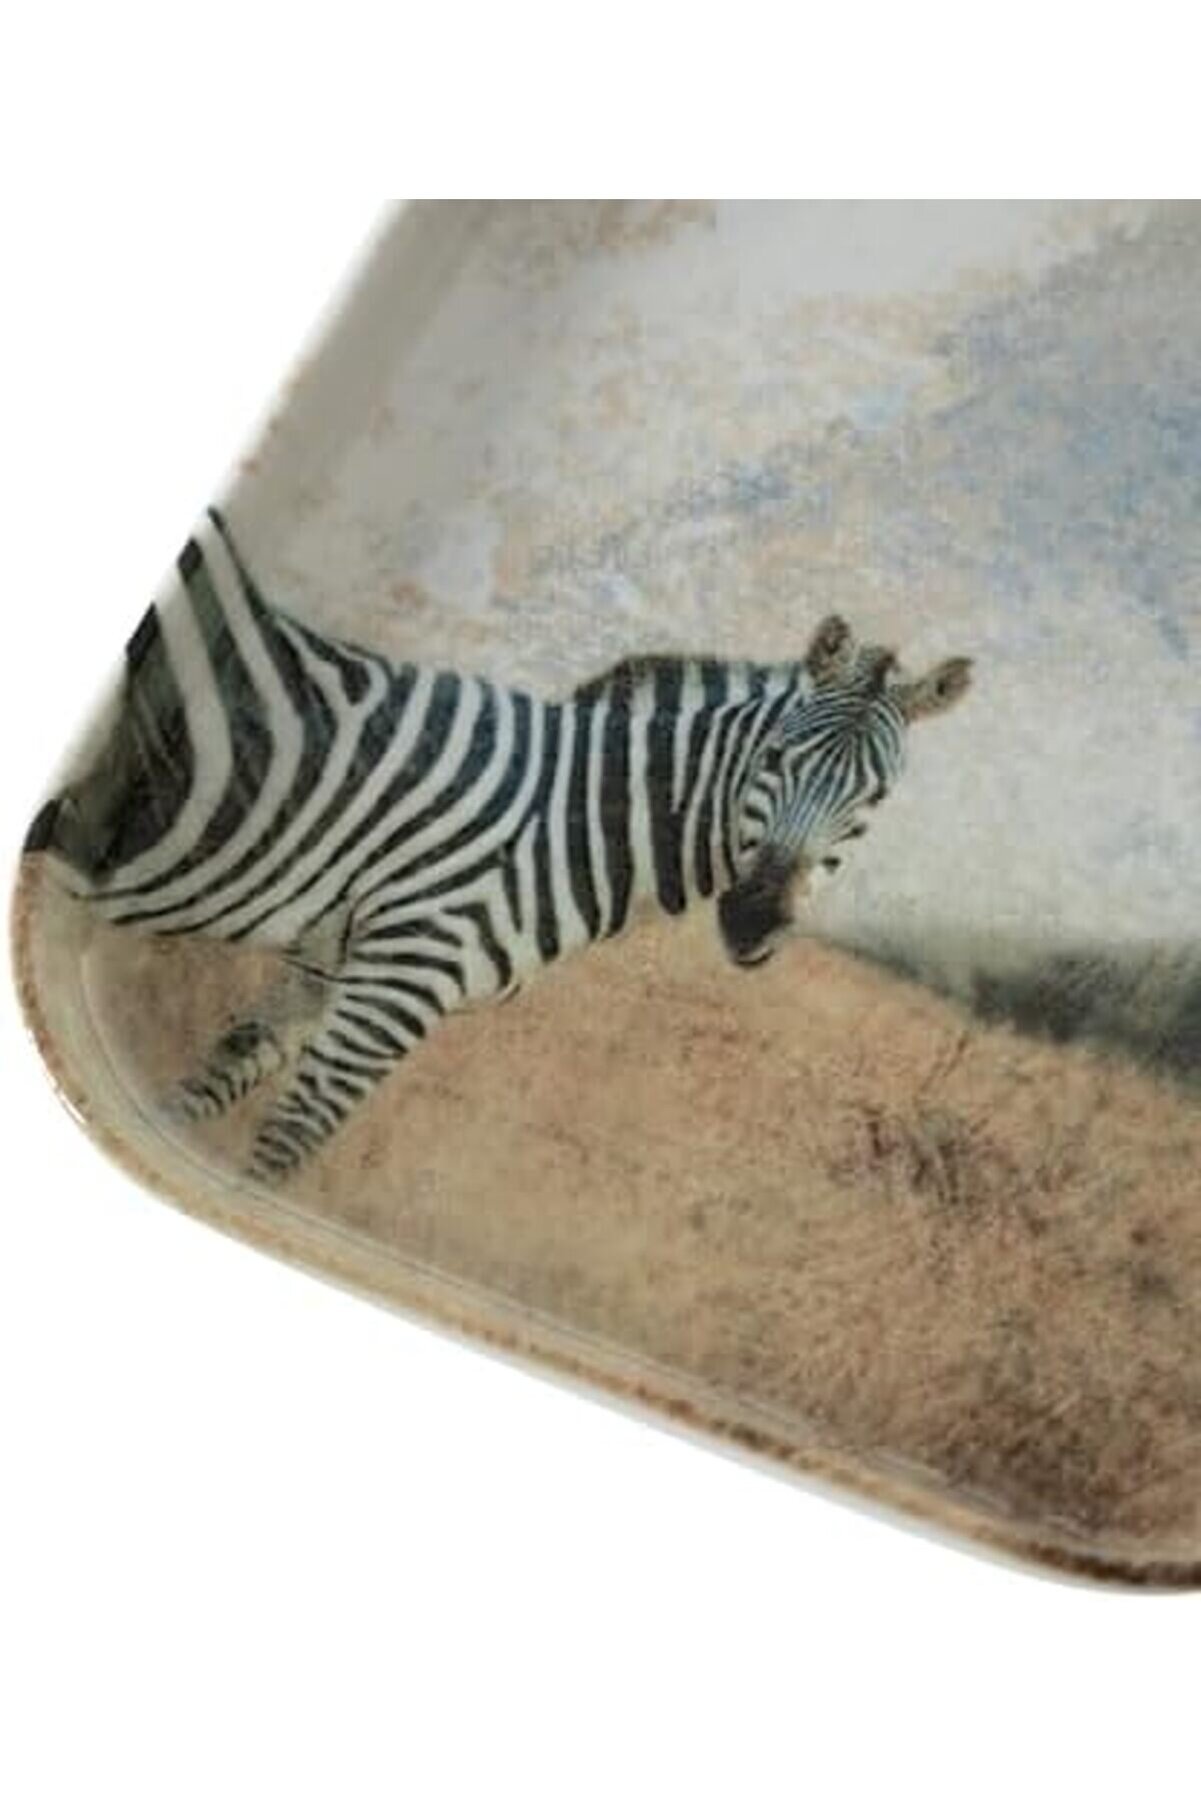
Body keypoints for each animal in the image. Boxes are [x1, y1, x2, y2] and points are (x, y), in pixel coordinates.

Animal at [25, 511, 972, 1182]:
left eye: (870, 801)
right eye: (774, 758)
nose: (751, 919)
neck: (572, 819)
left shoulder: (324, 971)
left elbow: (197, 1099)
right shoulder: (398, 983)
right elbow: (277, 1156)